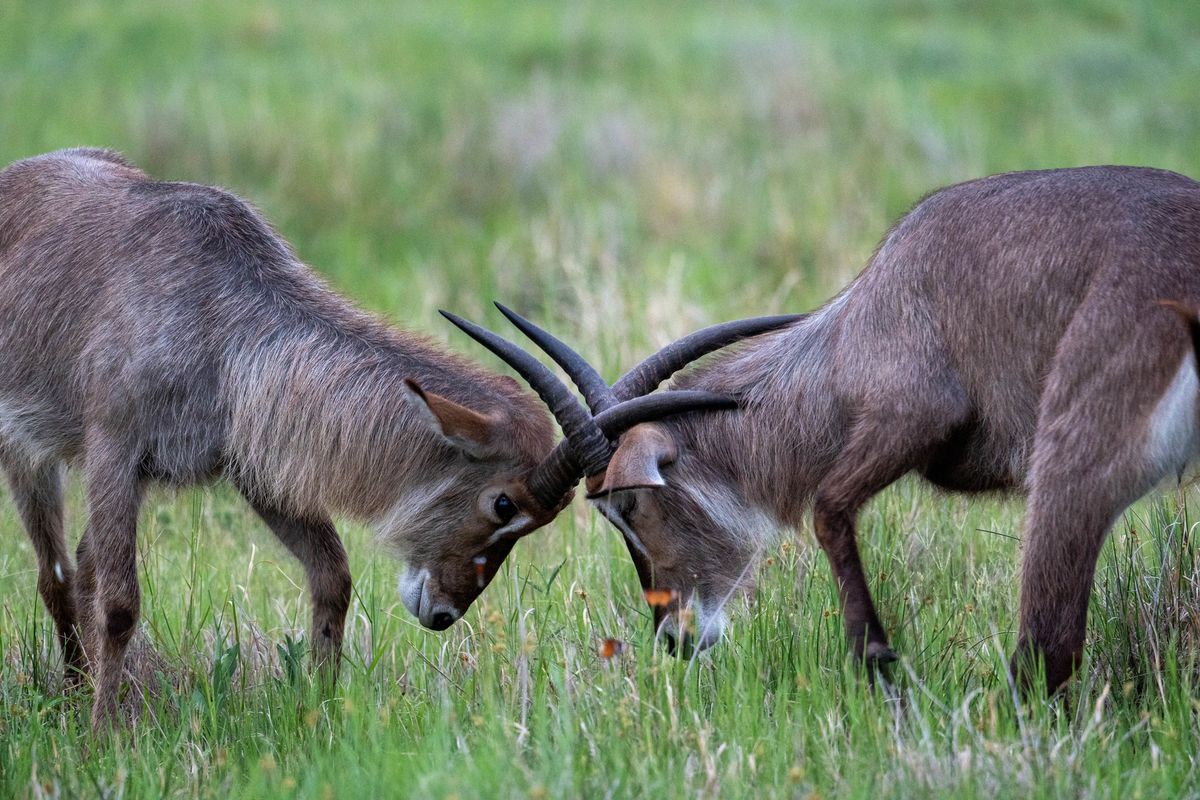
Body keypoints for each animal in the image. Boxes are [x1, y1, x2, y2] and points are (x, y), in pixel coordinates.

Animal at [0, 146, 753, 729]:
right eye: (503, 504)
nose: (444, 613)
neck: (220, 318)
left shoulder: (254, 469)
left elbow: (331, 575)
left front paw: (322, 710)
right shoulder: (113, 452)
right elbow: (119, 601)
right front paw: (104, 738)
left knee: (79, 565)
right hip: (32, 456)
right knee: (57, 572)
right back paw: (77, 701)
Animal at [460, 165, 1200, 690]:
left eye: (630, 506)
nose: (674, 637)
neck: (849, 328)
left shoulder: (912, 415)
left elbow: (826, 508)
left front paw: (877, 666)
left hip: (1071, 471)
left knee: (1045, 651)